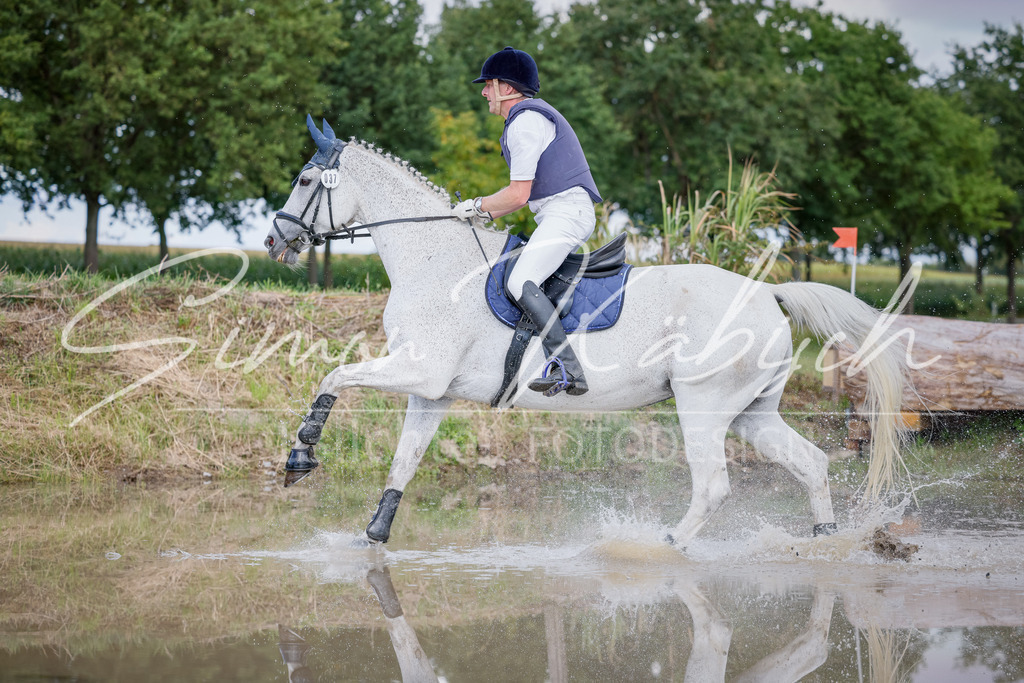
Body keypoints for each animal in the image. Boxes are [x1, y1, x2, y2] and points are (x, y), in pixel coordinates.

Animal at [264, 116, 908, 549]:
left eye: (304, 180)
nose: (274, 240)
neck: (436, 261)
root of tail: (767, 294)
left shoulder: (418, 371)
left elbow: (335, 373)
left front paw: (302, 452)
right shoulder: (432, 391)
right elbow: (403, 464)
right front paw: (372, 537)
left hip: (703, 404)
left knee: (713, 487)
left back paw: (662, 550)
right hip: (752, 412)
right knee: (811, 464)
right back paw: (826, 541)